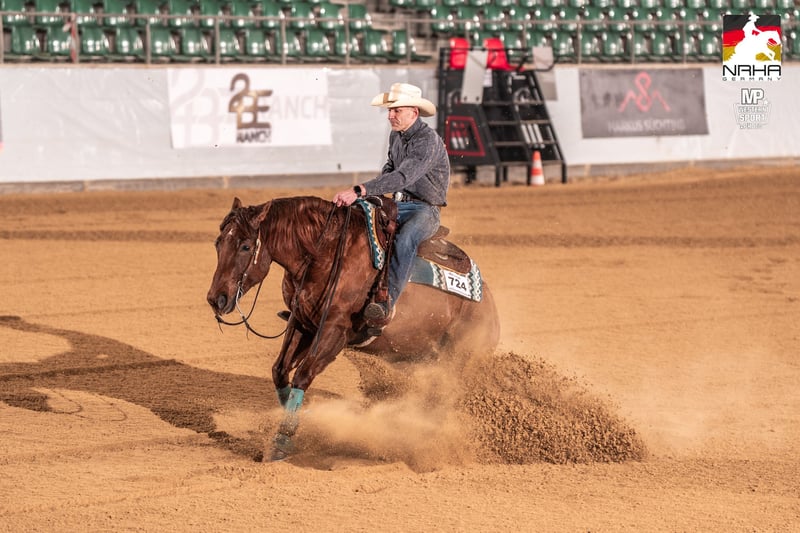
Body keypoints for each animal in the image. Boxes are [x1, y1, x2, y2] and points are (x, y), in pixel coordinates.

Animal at [206, 196, 500, 460]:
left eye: (246, 246)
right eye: (218, 243)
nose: (215, 299)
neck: (325, 252)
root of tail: (489, 305)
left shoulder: (335, 331)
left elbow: (303, 375)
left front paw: (282, 441)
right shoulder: (302, 322)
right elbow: (280, 371)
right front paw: (303, 418)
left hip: (457, 359)